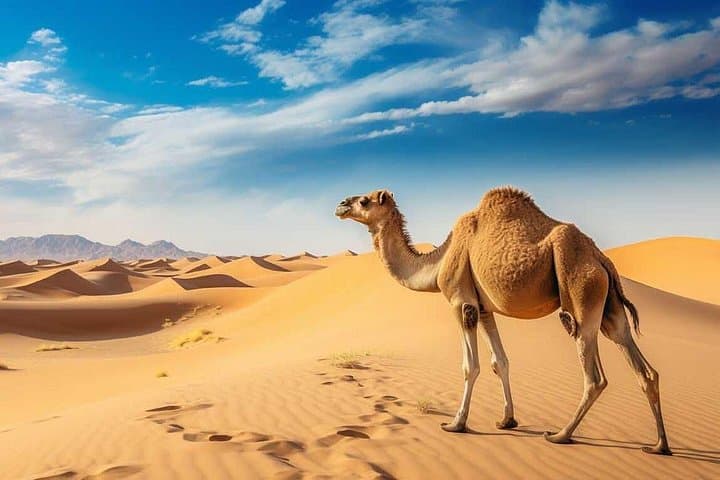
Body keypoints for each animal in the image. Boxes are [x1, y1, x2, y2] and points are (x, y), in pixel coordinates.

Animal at [335, 186, 670, 455]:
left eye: (364, 200)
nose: (340, 204)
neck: (439, 261)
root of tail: (602, 258)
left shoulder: (461, 303)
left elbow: (470, 366)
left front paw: (456, 423)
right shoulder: (484, 309)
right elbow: (501, 361)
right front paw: (507, 420)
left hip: (581, 295)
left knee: (594, 375)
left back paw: (560, 435)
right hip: (610, 306)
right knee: (642, 365)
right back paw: (659, 446)